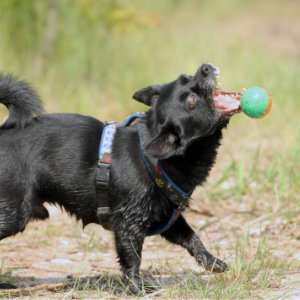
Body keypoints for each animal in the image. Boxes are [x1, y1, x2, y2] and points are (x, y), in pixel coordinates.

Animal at [0, 63, 239, 292]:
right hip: (14, 214)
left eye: (187, 77)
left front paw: (211, 261)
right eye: (191, 100)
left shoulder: (166, 216)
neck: (157, 159)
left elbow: (191, 237)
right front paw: (136, 287)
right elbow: (132, 257)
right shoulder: (128, 223)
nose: (205, 68)